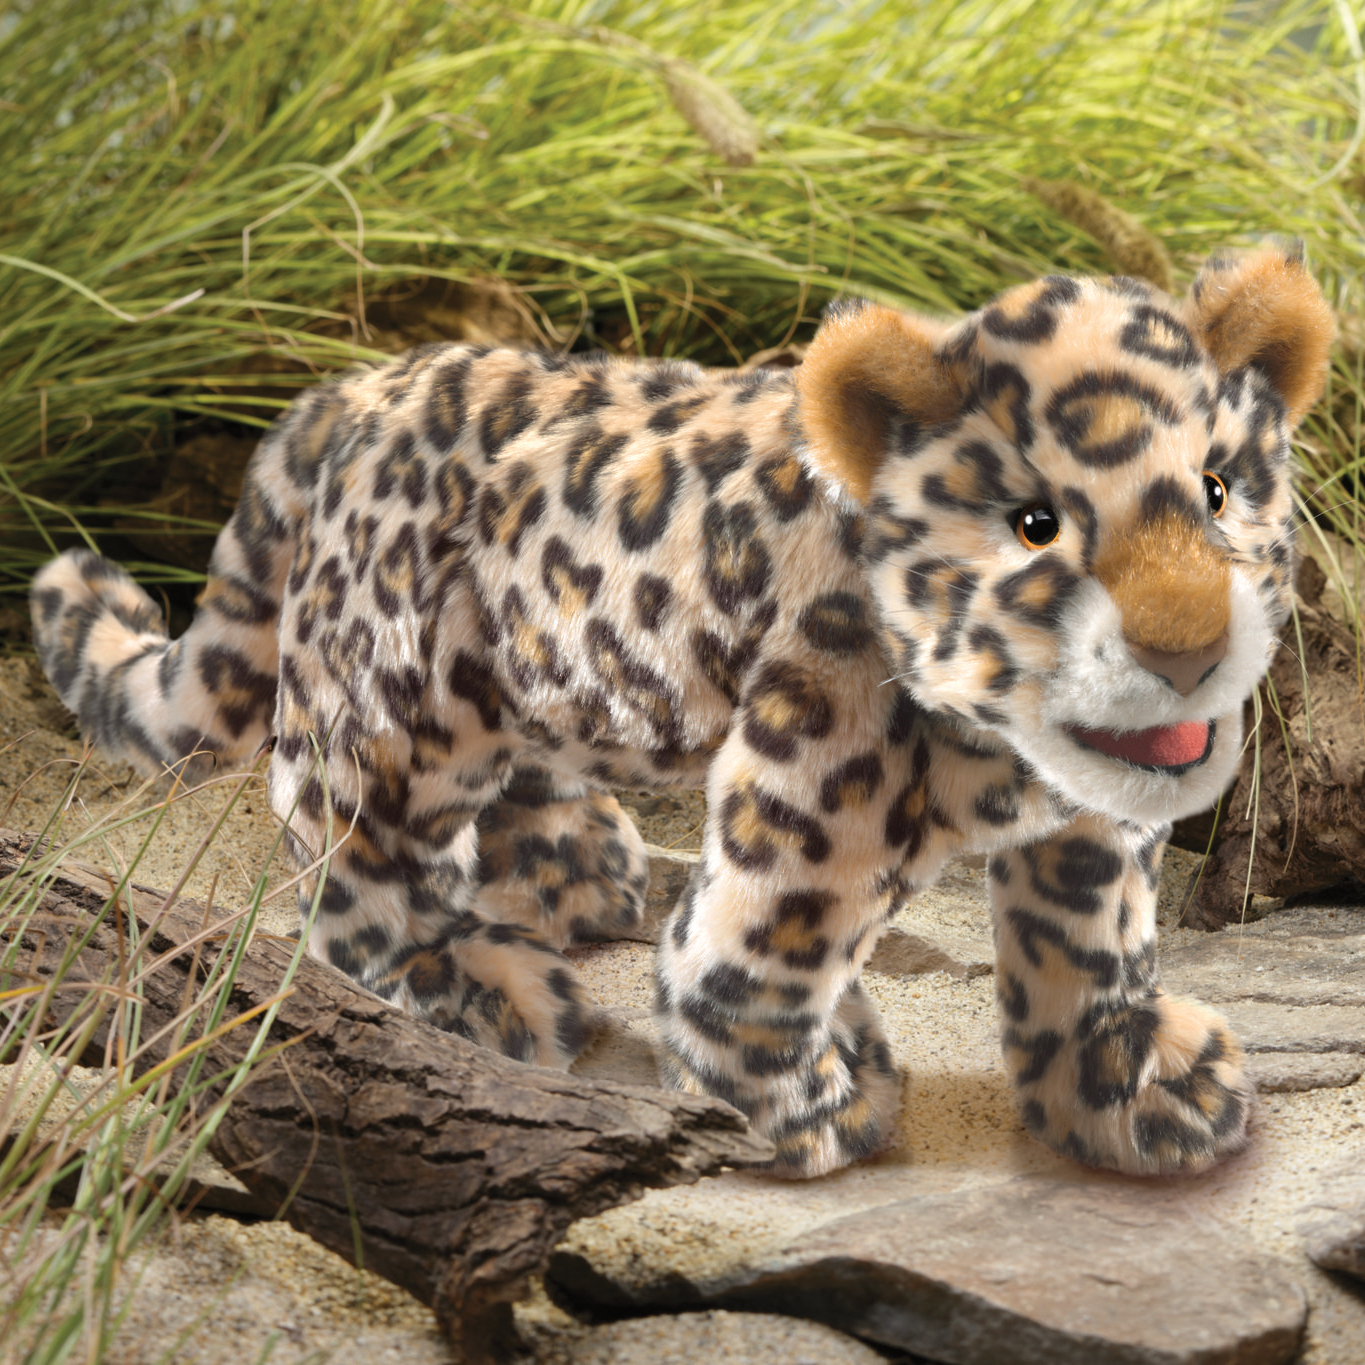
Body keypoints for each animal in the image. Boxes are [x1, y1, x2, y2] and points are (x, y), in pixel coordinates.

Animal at [30, 243, 1334, 1178]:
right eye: (1035, 527)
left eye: (1219, 489)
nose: (1188, 651)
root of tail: (345, 394)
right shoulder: (813, 788)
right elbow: (756, 947)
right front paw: (801, 1105)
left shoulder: (1091, 820)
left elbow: (1088, 941)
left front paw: (1126, 1084)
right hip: (397, 709)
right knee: (343, 851)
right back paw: (487, 988)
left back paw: (569, 868)